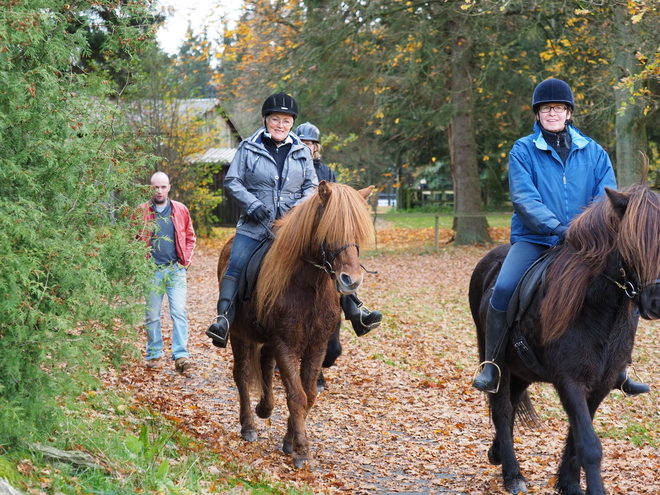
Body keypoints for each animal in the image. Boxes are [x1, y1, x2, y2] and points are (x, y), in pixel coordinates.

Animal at [214, 181, 374, 468]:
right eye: (330, 230)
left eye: (358, 232)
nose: (351, 281)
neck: (309, 287)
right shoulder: (285, 344)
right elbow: (296, 395)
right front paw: (301, 450)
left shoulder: (317, 346)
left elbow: (308, 394)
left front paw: (290, 440)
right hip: (240, 335)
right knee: (242, 375)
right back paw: (249, 426)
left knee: (265, 366)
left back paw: (264, 407)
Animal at [466, 185, 660, 495]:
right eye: (632, 243)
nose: (656, 302)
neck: (595, 305)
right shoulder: (569, 380)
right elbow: (589, 444)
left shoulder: (600, 383)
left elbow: (577, 436)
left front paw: (568, 484)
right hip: (498, 364)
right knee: (503, 410)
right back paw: (513, 474)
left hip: (522, 369)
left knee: (513, 402)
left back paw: (496, 453)